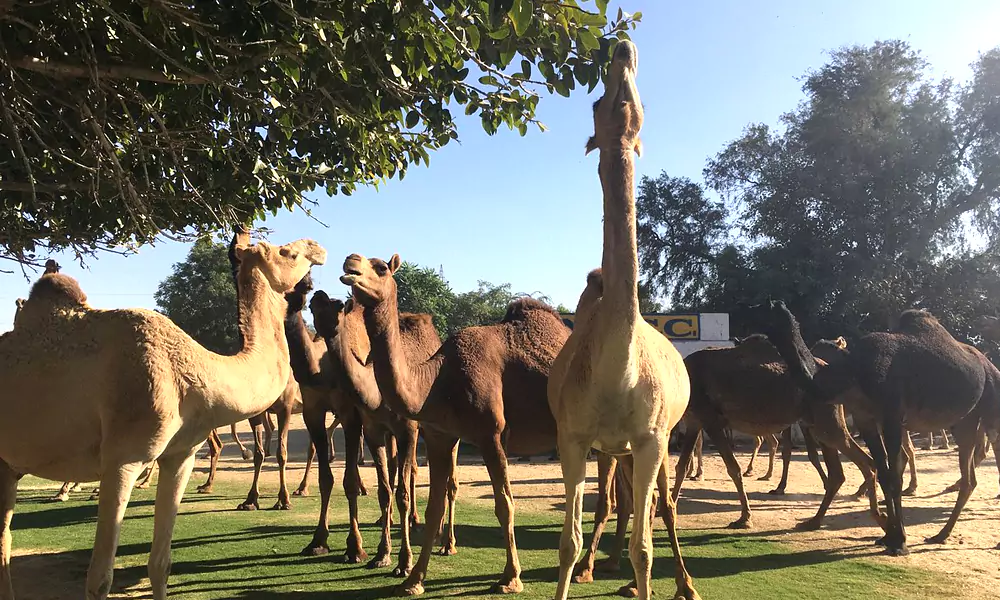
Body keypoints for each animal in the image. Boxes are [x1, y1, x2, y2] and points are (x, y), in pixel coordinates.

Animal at [0, 234, 324, 600]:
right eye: (289, 252)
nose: (318, 248)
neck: (195, 374)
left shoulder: (180, 456)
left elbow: (160, 563)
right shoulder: (123, 459)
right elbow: (99, 578)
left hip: (7, 465)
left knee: (4, 539)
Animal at [342, 254, 572, 596]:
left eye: (381, 268)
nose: (350, 261)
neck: (437, 380)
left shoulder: (491, 434)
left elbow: (504, 505)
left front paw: (510, 578)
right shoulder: (440, 436)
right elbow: (433, 508)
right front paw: (413, 580)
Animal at [544, 41, 700, 600]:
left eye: (641, 102)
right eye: (594, 102)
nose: (622, 48)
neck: (618, 372)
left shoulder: (652, 439)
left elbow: (645, 547)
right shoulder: (571, 437)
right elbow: (566, 543)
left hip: (652, 442)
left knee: (661, 507)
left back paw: (683, 584)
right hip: (612, 449)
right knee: (627, 503)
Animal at [756, 302, 1000, 556]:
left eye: (764, 312)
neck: (855, 373)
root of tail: (989, 365)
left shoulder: (891, 415)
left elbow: (893, 476)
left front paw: (900, 542)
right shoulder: (866, 419)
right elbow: (884, 474)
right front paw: (888, 536)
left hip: (986, 406)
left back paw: (943, 533)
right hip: (965, 418)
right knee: (970, 475)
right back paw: (940, 534)